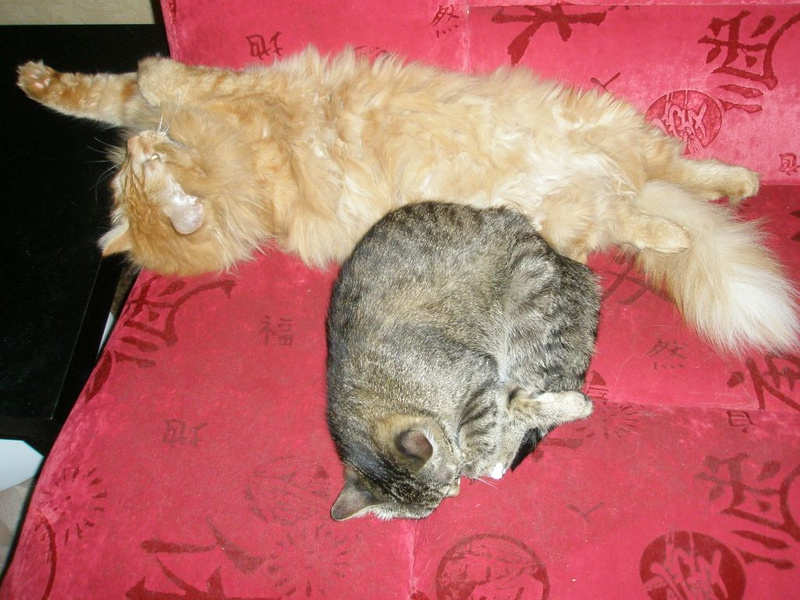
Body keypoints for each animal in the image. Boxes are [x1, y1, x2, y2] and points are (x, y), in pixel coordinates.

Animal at [17, 47, 799, 353]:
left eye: (141, 172)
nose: (139, 155)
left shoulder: (209, 95)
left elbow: (136, 85)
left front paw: (40, 79)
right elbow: (112, 94)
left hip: (611, 128)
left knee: (684, 171)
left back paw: (740, 181)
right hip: (571, 214)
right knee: (635, 216)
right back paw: (675, 231)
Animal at [326, 202, 600, 520]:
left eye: (450, 479)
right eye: (436, 502)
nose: (456, 490)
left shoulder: (476, 373)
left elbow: (494, 420)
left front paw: (479, 459)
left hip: (528, 313)